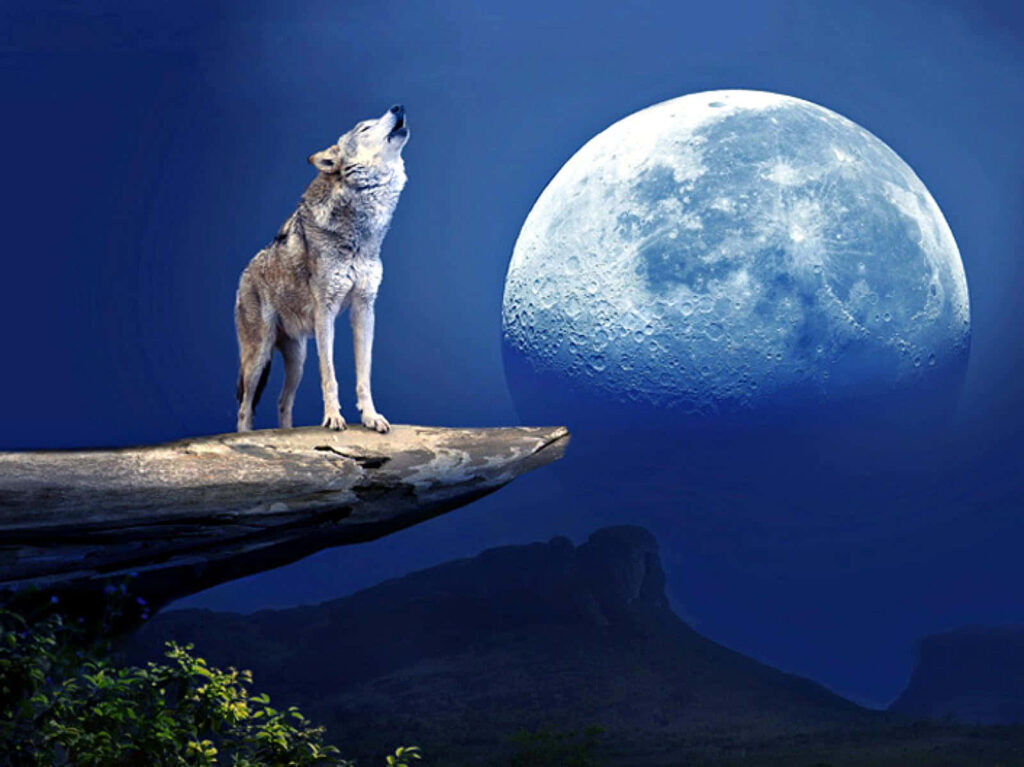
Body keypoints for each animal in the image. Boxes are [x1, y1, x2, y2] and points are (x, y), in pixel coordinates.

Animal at [235, 104, 409, 433]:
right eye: (365, 128)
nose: (398, 107)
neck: (361, 234)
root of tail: (244, 274)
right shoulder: (325, 313)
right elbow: (330, 374)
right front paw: (332, 418)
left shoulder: (364, 308)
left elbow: (363, 375)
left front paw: (370, 416)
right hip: (259, 356)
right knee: (244, 408)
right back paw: (244, 436)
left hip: (298, 359)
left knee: (282, 401)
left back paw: (287, 434)